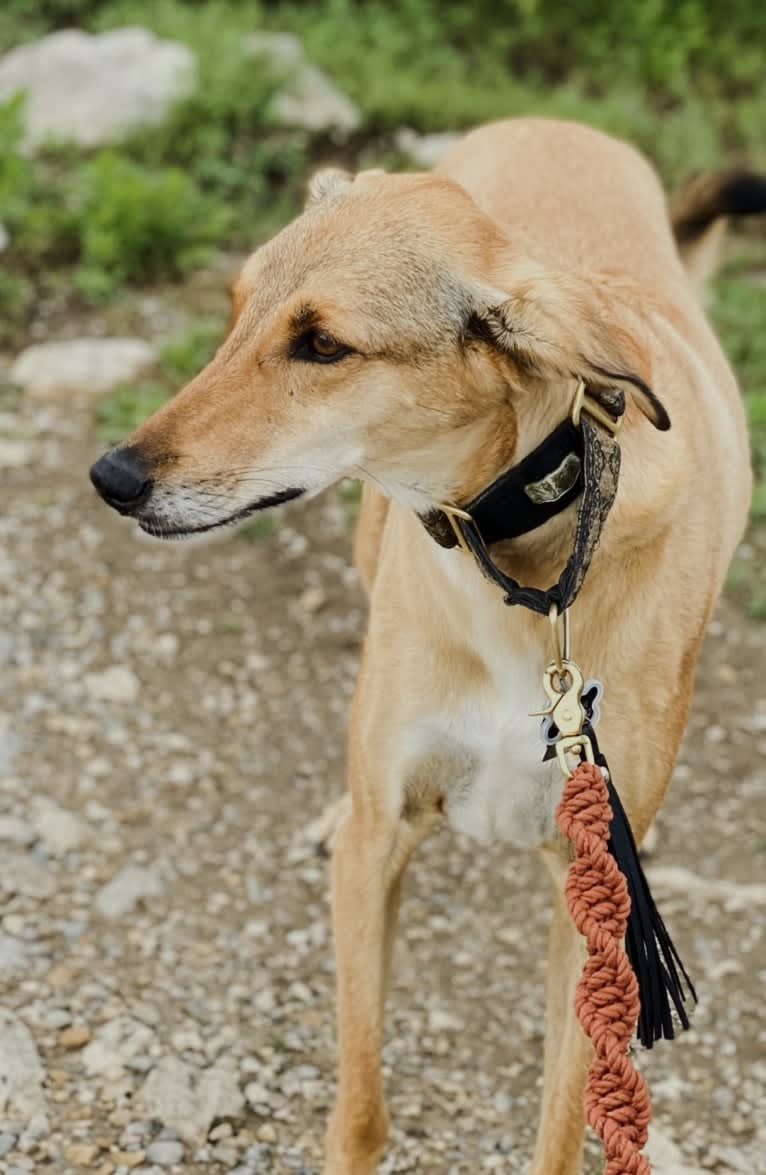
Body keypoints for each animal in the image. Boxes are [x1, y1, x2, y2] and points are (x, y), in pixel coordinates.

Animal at [89, 121, 761, 1175]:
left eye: (323, 345)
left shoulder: (596, 900)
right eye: (236, 312)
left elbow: (564, 1122)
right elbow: (362, 1101)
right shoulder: (380, 848)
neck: (522, 566)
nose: (111, 477)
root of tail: (554, 124)